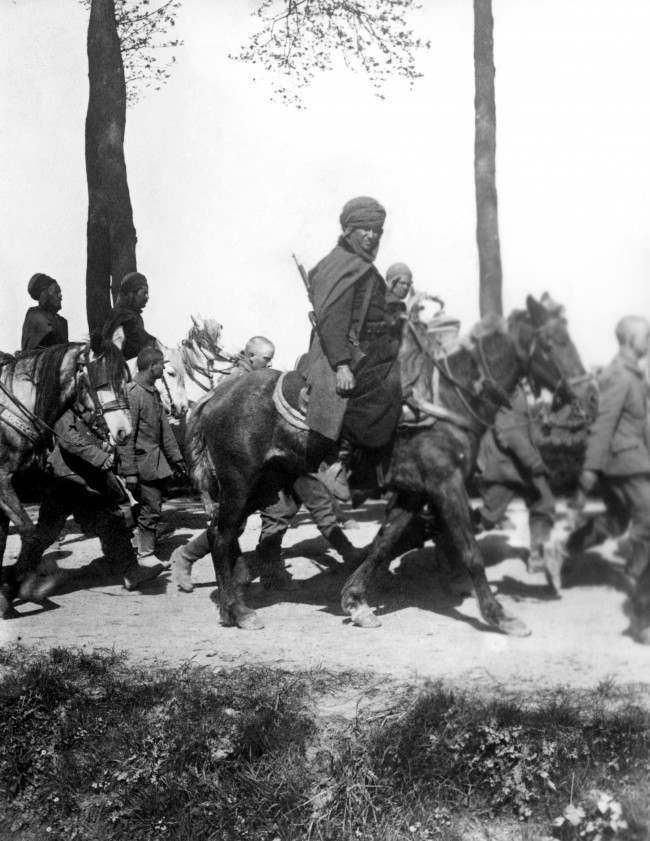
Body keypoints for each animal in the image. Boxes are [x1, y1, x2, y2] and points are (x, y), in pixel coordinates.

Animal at [187, 292, 592, 632]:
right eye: (552, 344)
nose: (589, 396)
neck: (447, 398)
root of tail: (213, 398)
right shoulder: (446, 485)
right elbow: (469, 549)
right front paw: (498, 615)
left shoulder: (413, 491)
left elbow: (385, 544)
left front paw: (356, 601)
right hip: (239, 482)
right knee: (222, 535)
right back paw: (238, 610)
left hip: (265, 485)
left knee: (221, 532)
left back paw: (231, 598)